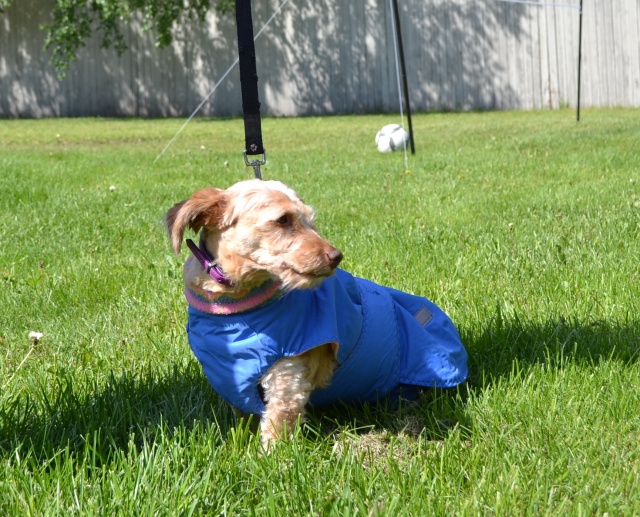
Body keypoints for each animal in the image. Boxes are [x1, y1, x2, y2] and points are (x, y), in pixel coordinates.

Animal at [166, 179, 468, 449]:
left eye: (310, 219)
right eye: (283, 220)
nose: (336, 256)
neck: (235, 308)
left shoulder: (288, 375)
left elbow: (278, 422)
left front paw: (270, 461)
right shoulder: (230, 374)